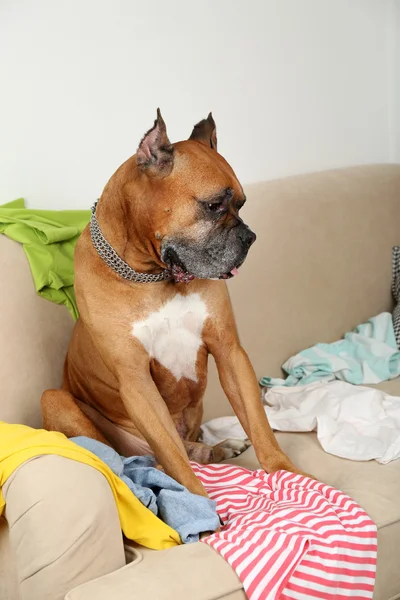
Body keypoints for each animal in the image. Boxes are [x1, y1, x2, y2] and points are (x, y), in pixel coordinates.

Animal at [41, 110, 304, 494]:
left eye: (241, 204)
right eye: (214, 206)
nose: (249, 237)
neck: (153, 277)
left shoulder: (229, 352)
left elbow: (259, 424)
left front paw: (288, 472)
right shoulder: (136, 382)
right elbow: (177, 463)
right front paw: (201, 505)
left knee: (186, 447)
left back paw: (217, 449)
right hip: (58, 399)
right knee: (136, 462)